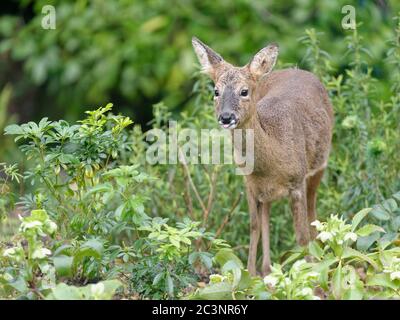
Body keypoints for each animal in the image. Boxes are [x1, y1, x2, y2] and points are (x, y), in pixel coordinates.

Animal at [192, 37, 332, 276]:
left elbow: (301, 234)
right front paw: (249, 274)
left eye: (244, 91)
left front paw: (310, 274)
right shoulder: (249, 184)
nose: (226, 117)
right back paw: (267, 268)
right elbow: (255, 226)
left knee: (312, 212)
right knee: (267, 215)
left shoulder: (297, 182)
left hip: (319, 165)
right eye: (216, 91)